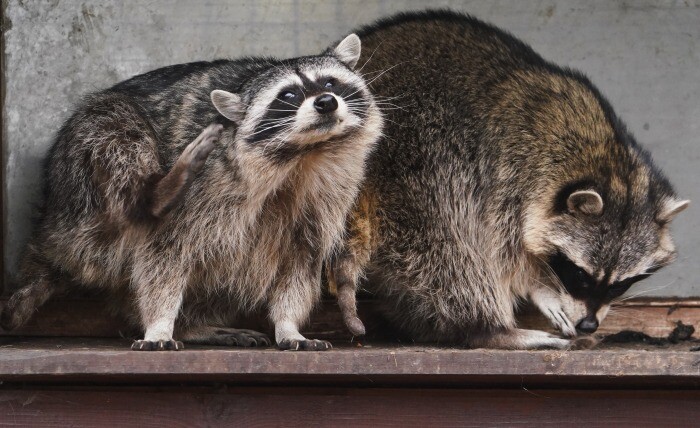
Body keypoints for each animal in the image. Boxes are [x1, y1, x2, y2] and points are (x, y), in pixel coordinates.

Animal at [1, 32, 382, 348]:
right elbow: (163, 253)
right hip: (80, 181)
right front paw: (159, 324)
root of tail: (49, 230)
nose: (326, 102)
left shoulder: (327, 197)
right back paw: (154, 195)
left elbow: (300, 263)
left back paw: (195, 325)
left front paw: (288, 326)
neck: (306, 153)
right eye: (287, 95)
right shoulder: (208, 185)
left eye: (330, 82)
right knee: (117, 133)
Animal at [330, 11, 692, 350]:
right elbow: (503, 250)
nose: (589, 325)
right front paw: (539, 286)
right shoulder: (506, 171)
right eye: (580, 275)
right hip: (417, 161)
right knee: (450, 244)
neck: (602, 159)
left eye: (619, 284)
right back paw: (491, 329)